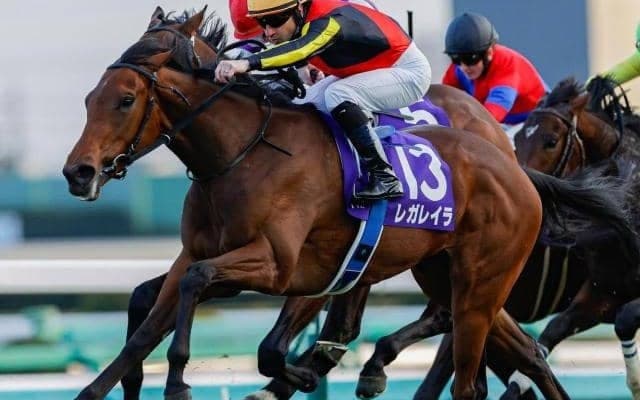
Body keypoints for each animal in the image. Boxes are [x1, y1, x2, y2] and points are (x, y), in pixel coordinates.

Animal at [62, 9, 636, 400]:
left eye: (126, 100)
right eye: (89, 98)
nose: (77, 172)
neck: (242, 152)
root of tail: (514, 167)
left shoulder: (279, 264)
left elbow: (211, 297)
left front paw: (182, 380)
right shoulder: (201, 256)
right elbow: (149, 320)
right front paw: (110, 386)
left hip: (479, 286)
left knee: (470, 377)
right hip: (451, 280)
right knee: (525, 352)